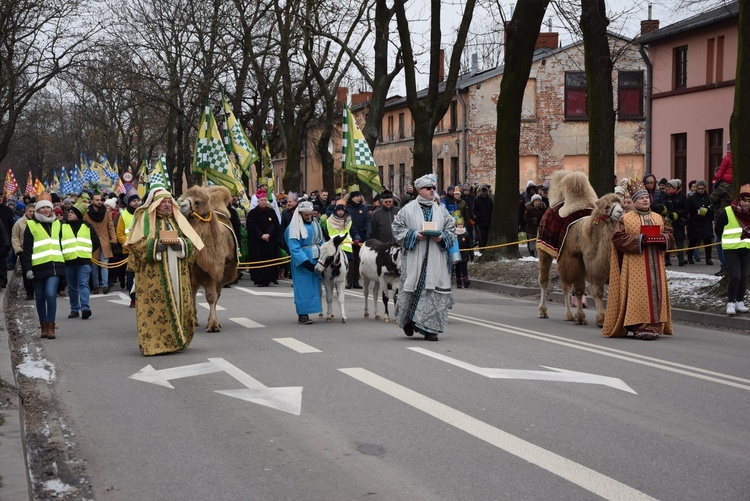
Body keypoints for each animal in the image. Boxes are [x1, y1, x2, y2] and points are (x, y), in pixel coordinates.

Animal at [179, 186, 238, 330]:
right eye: (183, 199)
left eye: (198, 202)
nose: (182, 206)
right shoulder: (198, 268)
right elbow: (202, 295)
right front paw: (210, 323)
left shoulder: (217, 270)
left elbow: (213, 296)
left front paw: (213, 324)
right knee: (194, 290)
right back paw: (194, 319)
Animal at [536, 172, 624, 328]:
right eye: (607, 206)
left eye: (621, 203)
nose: (620, 211)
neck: (585, 235)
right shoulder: (574, 259)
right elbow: (580, 290)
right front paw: (584, 317)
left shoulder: (593, 263)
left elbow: (597, 290)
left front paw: (601, 319)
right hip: (544, 250)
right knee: (546, 281)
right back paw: (544, 311)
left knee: (563, 285)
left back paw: (568, 315)